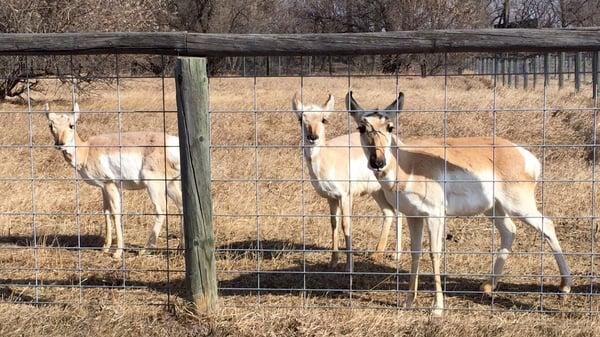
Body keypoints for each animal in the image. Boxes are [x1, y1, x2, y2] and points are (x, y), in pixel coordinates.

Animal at [45, 102, 183, 258]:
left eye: (71, 125)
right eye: (51, 125)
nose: (59, 143)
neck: (86, 150)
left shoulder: (110, 184)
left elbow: (116, 212)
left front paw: (117, 252)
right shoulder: (103, 187)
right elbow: (106, 212)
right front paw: (105, 247)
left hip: (154, 184)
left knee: (161, 210)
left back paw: (144, 250)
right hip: (171, 183)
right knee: (181, 206)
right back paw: (180, 248)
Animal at [292, 92, 400, 270]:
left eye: (324, 119)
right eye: (301, 119)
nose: (312, 137)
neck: (327, 157)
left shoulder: (345, 196)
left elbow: (346, 225)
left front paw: (349, 266)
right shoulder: (331, 198)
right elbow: (333, 223)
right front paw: (333, 262)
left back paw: (396, 254)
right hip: (376, 191)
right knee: (389, 212)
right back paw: (377, 254)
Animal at [350, 90, 576, 314]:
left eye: (390, 127)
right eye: (361, 127)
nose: (378, 162)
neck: (407, 163)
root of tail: (523, 154)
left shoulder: (435, 216)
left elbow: (434, 253)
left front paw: (437, 308)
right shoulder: (413, 216)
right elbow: (415, 253)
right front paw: (408, 302)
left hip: (519, 207)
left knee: (547, 225)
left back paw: (564, 286)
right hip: (494, 209)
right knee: (509, 231)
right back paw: (488, 285)